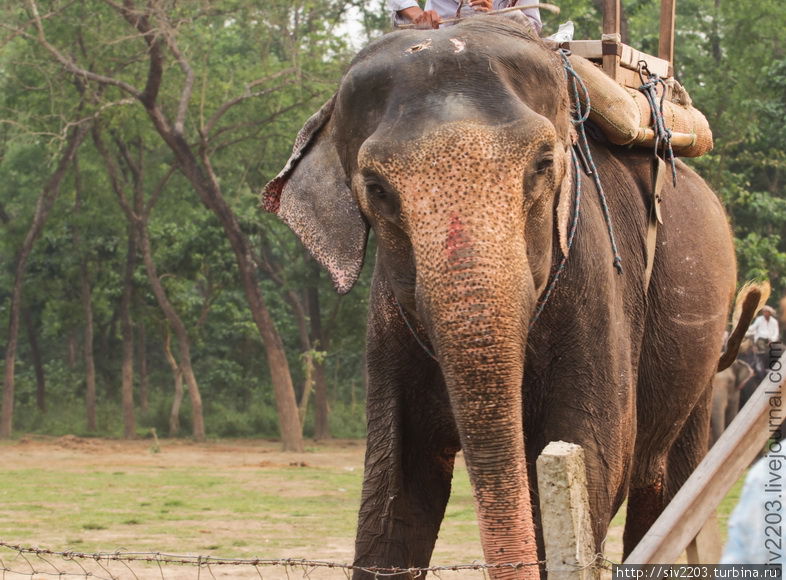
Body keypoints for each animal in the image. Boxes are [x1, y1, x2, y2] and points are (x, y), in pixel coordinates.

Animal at [260, 15, 752, 576]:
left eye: (542, 164)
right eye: (378, 189)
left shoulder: (598, 285)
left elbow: (594, 457)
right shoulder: (387, 318)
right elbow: (397, 486)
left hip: (702, 352)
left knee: (666, 486)